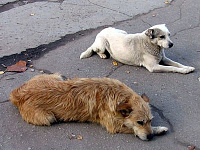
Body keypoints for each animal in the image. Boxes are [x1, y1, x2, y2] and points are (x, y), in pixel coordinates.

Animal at [10, 74, 168, 141]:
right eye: (140, 122)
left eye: (150, 120)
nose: (150, 137)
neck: (116, 96)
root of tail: (17, 93)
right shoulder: (113, 126)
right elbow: (131, 129)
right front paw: (158, 129)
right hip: (48, 118)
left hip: (55, 77)